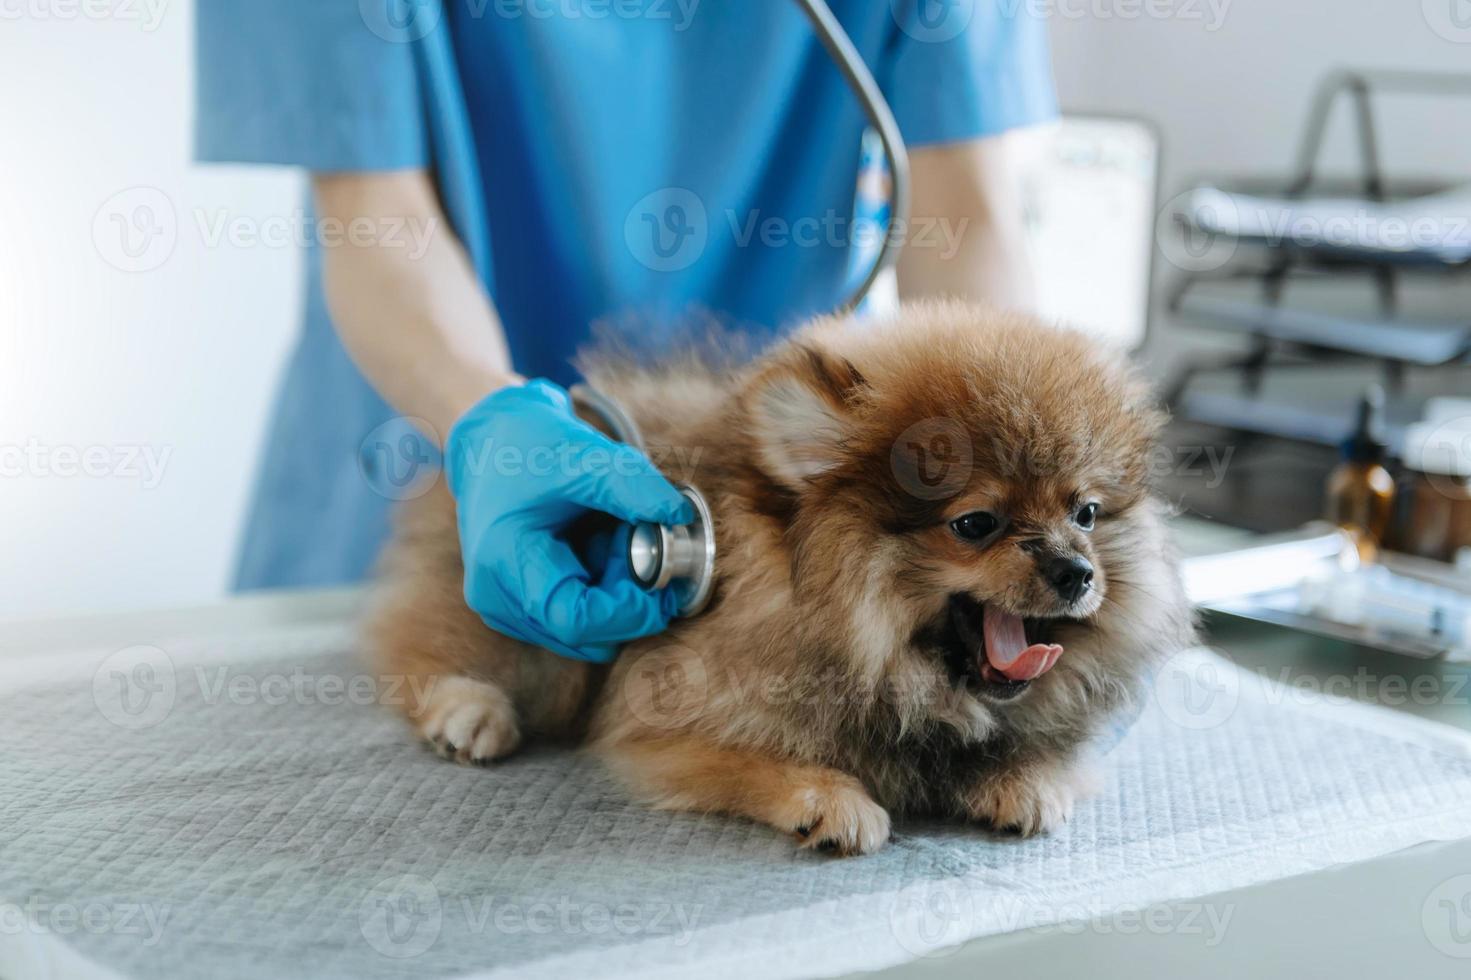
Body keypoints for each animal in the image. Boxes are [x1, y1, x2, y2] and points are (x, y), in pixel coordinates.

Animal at [364, 301, 1194, 853]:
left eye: (1085, 513)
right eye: (974, 524)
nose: (1076, 572)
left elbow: (1039, 755)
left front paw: (1026, 778)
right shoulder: (663, 723)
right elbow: (757, 760)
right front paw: (827, 797)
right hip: (540, 638)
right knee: (426, 649)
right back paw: (467, 710)